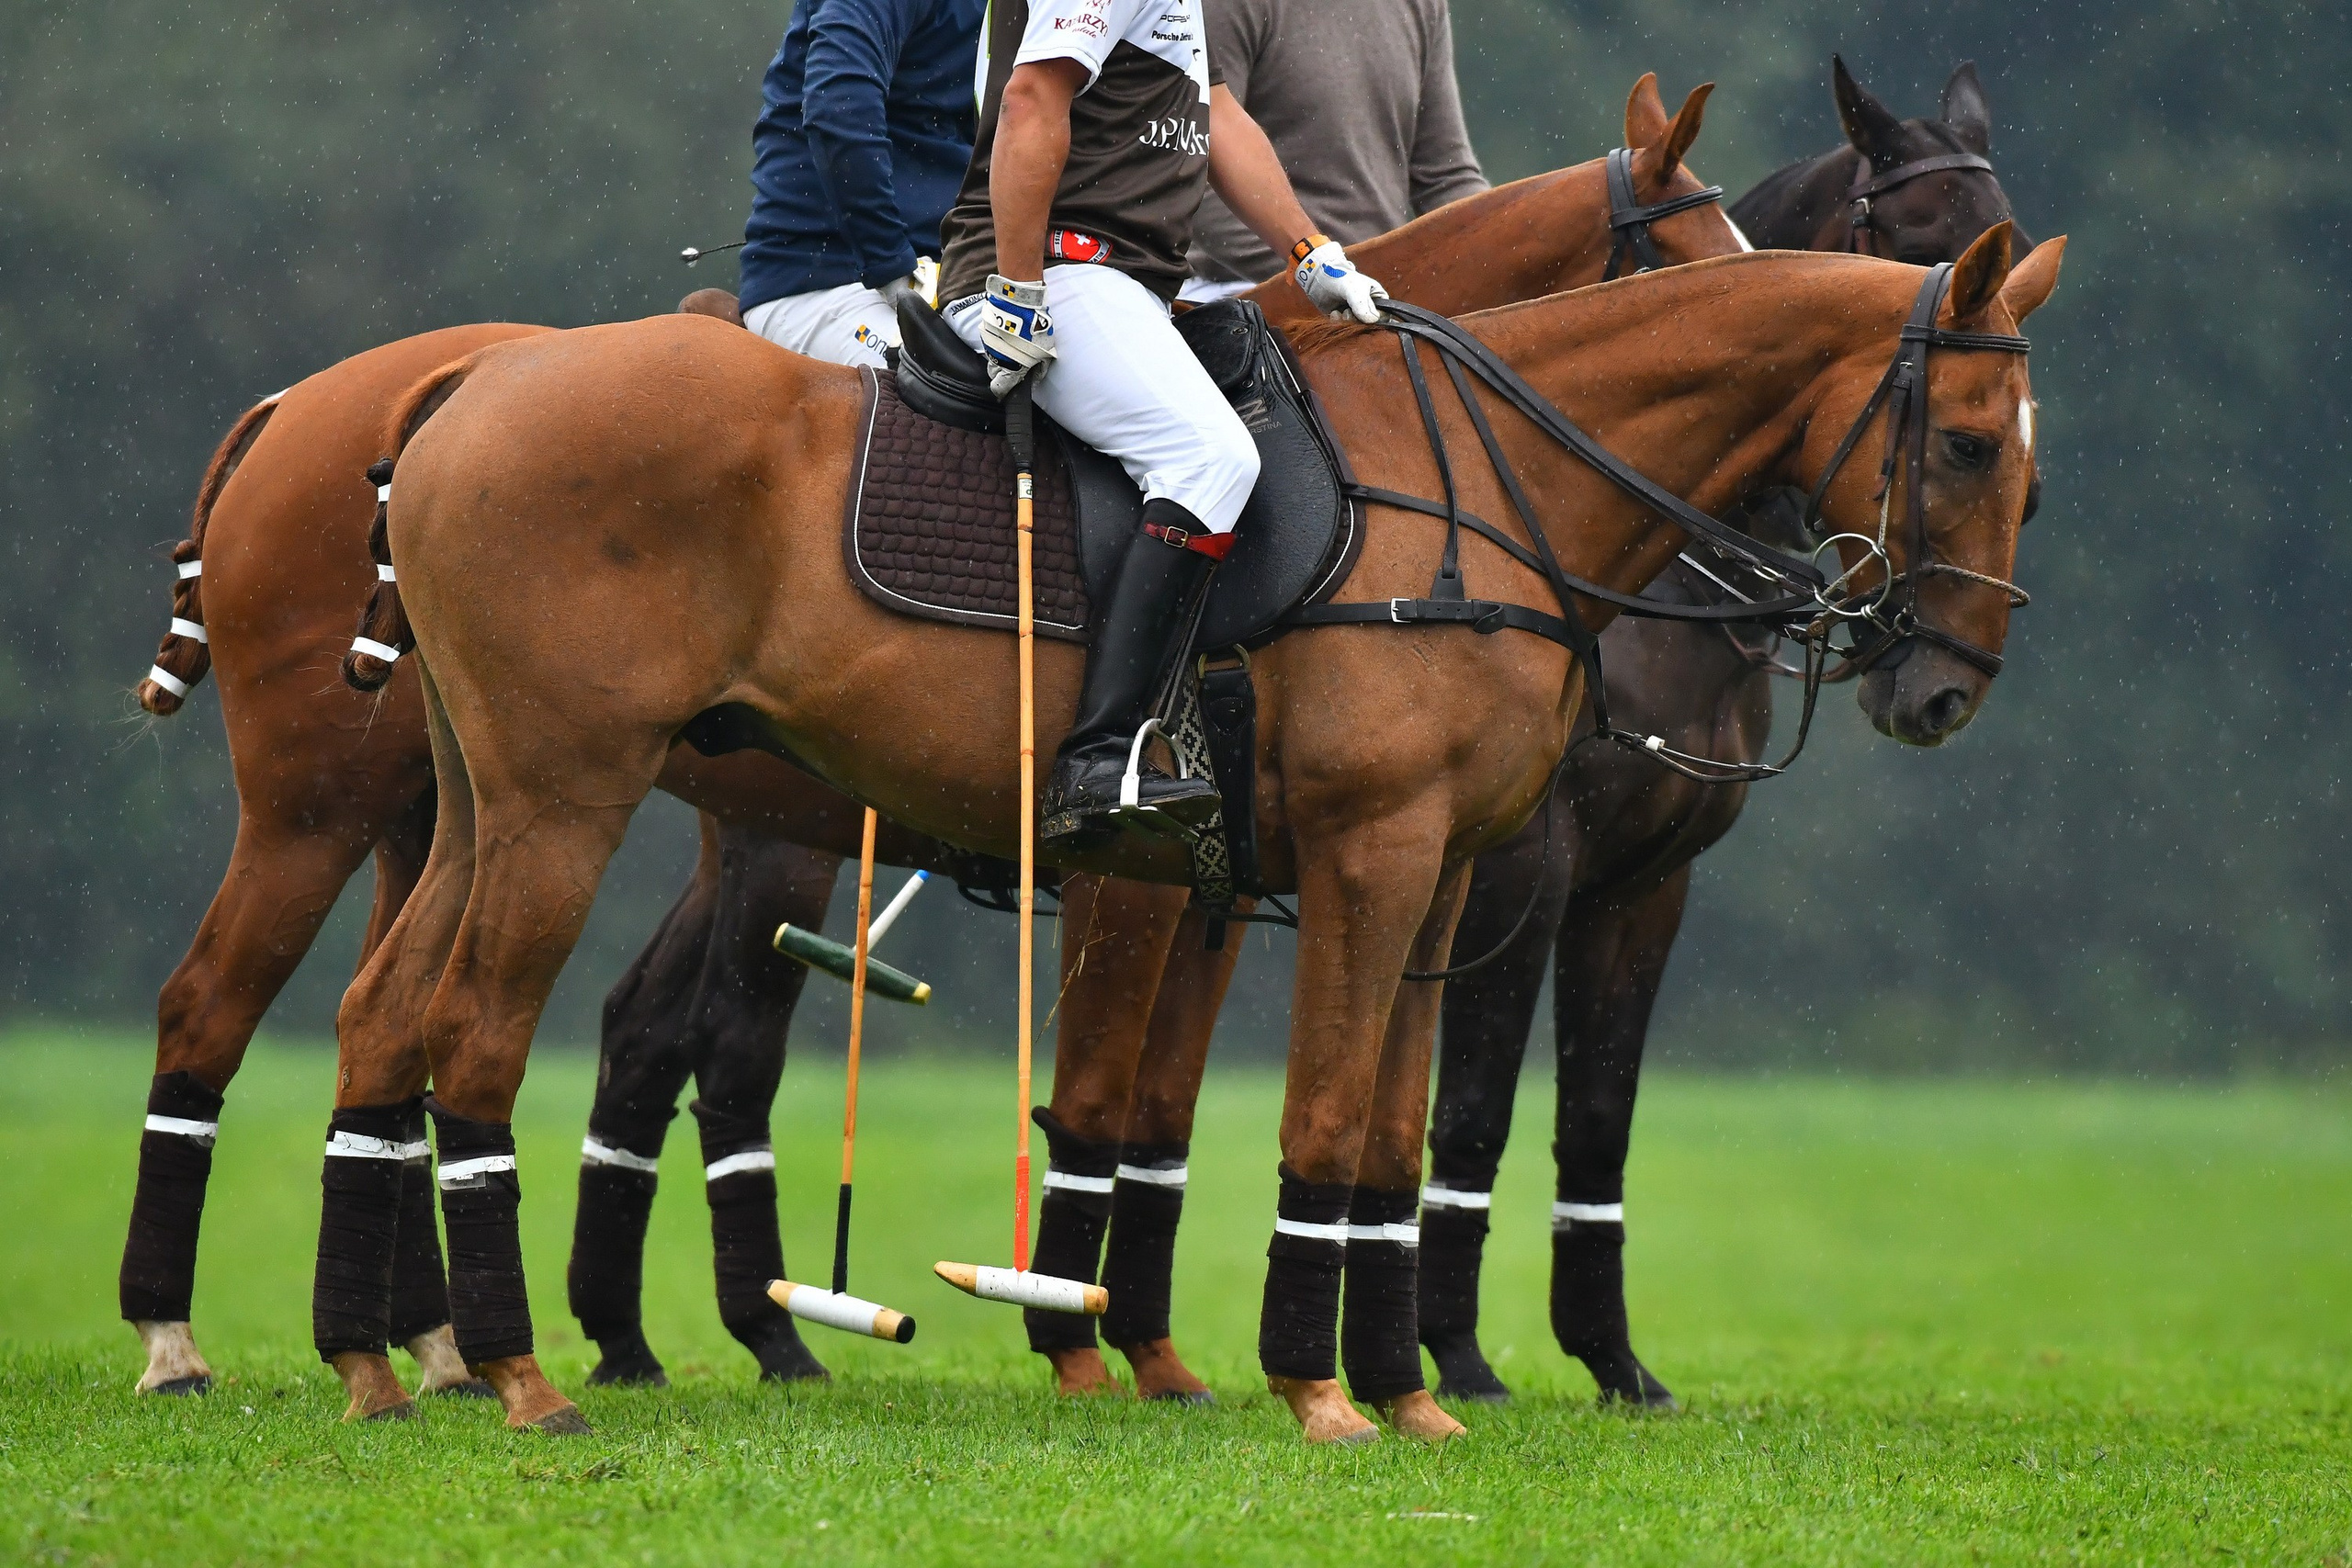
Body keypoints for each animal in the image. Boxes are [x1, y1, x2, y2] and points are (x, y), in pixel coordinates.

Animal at [116, 77, 1727, 1398]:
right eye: (1698, 251)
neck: (1391, 463)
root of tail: (374, 396)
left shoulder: (1239, 874)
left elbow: (1164, 1105)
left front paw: (1153, 1349)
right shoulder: (1172, 866)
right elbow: (1110, 1095)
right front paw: (1097, 1346)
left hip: (467, 801)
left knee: (414, 1027)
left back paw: (433, 1349)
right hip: (354, 800)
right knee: (227, 1005)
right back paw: (199, 1340)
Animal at [322, 225, 2062, 1440]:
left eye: (2032, 478)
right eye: (1971, 442)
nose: (1941, 688)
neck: (1489, 491)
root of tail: (468, 381)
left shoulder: (1442, 878)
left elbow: (1386, 1133)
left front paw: (1403, 1389)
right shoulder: (1373, 852)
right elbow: (1320, 1120)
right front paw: (1320, 1389)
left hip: (482, 797)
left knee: (381, 1013)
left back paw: (377, 1362)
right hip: (571, 795)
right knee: (475, 1033)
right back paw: (522, 1374)